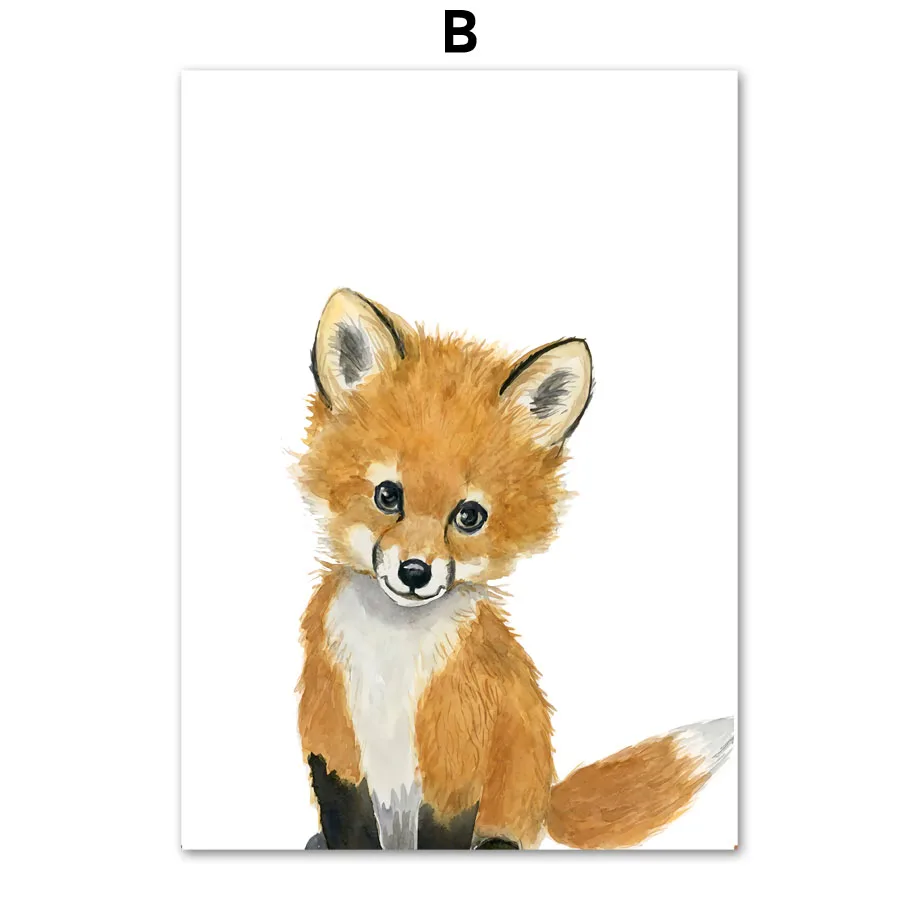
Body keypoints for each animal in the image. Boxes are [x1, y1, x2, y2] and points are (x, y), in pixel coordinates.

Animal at [293, 288, 734, 850]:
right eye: (387, 495)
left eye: (469, 515)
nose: (415, 572)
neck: (394, 660)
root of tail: (545, 797)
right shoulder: (334, 746)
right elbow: (348, 831)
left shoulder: (457, 765)